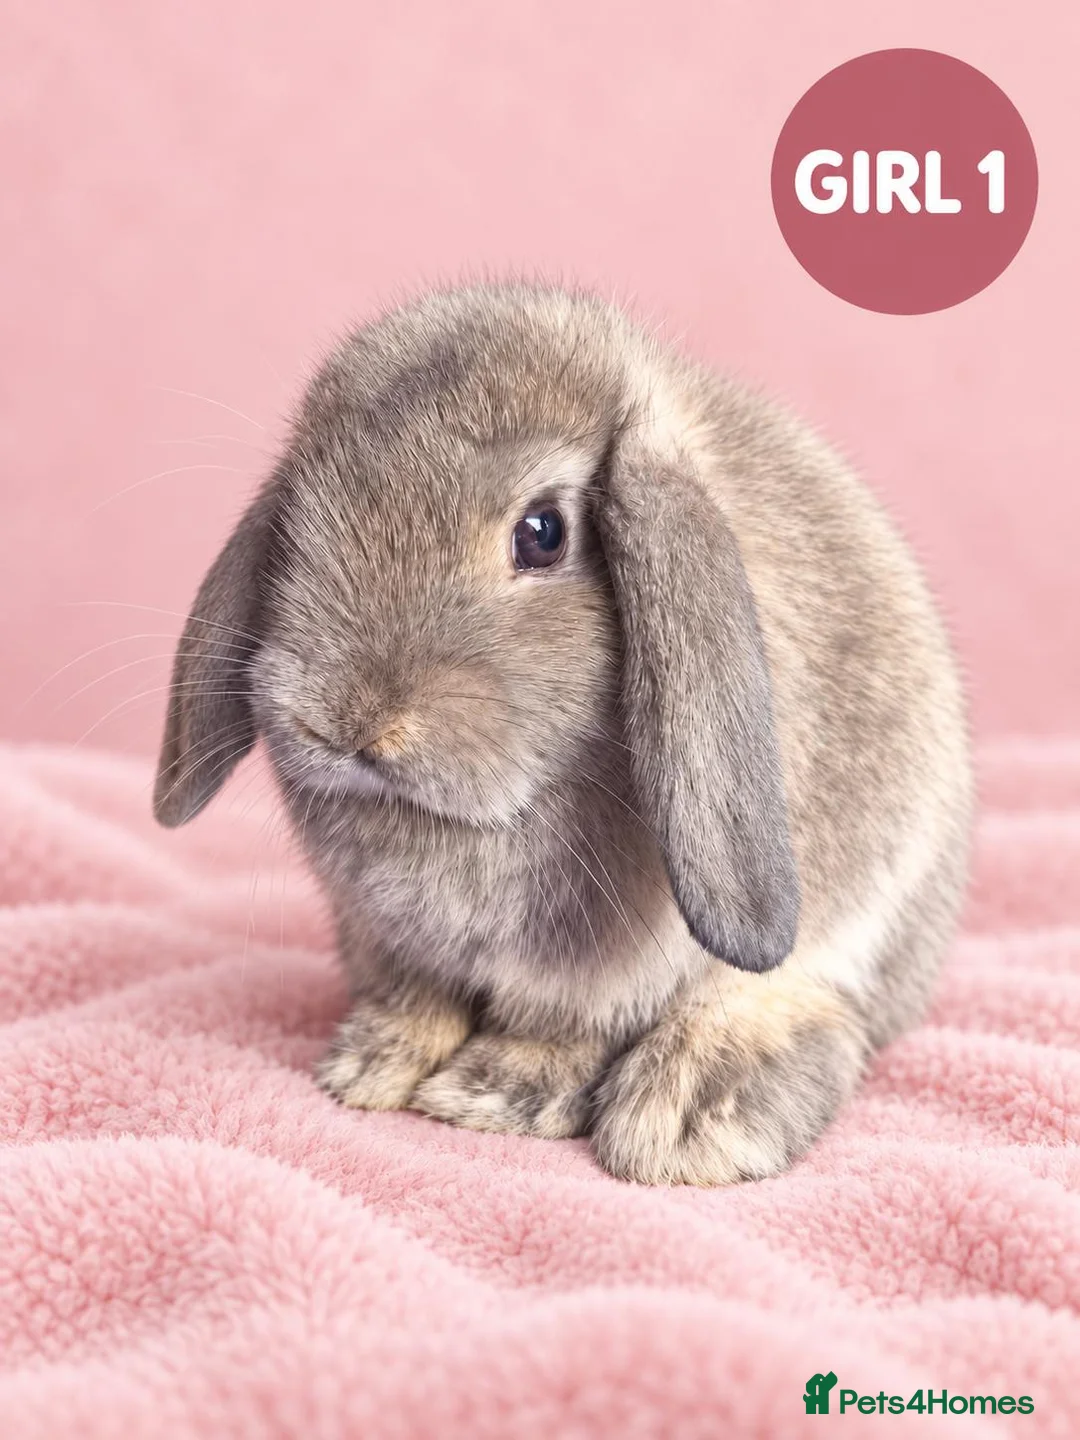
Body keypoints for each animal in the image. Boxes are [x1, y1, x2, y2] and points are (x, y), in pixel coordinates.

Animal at [153, 281, 973, 1186]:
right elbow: (418, 1002)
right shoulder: (391, 945)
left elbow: (560, 1032)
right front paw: (369, 1066)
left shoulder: (593, 981)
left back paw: (683, 1122)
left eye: (542, 532)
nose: (347, 721)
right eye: (300, 515)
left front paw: (490, 1094)